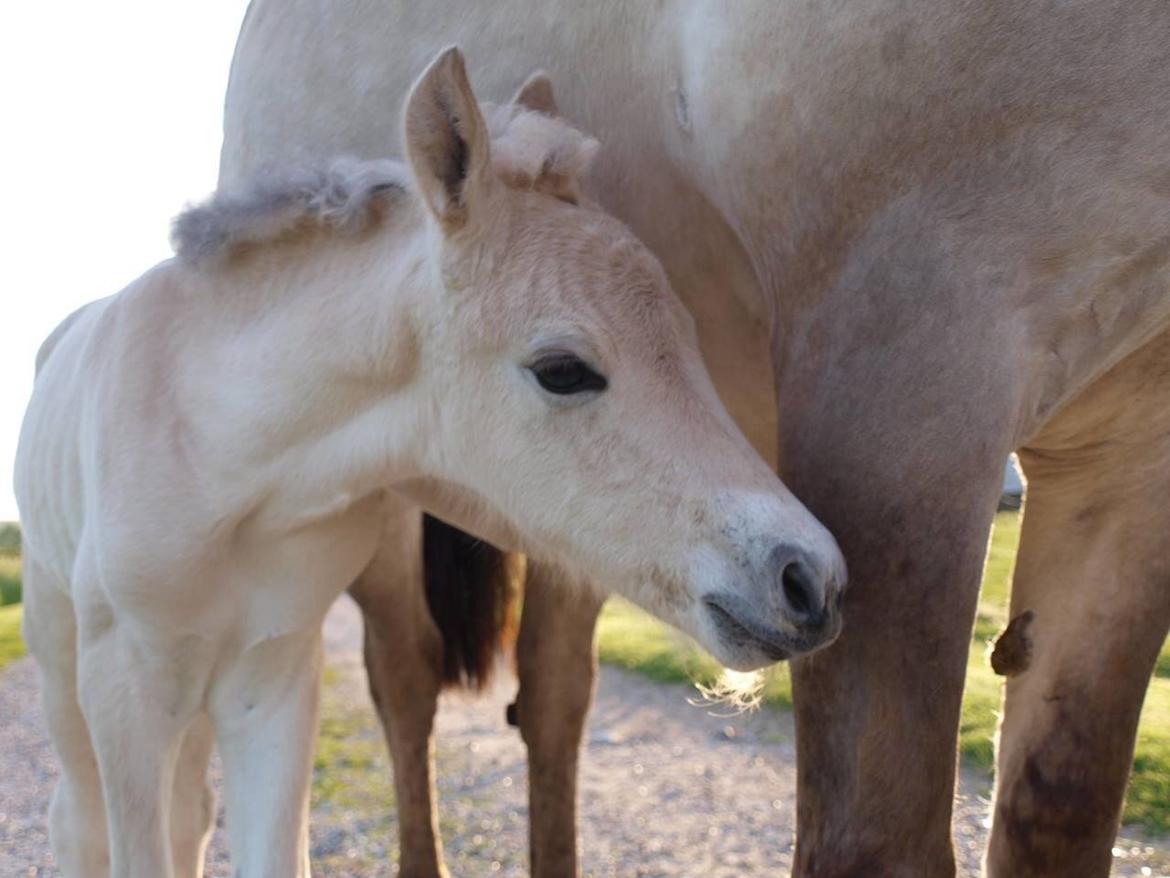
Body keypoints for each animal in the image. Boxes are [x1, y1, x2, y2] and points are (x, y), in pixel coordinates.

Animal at [13, 49, 847, 878]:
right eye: (562, 370)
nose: (810, 580)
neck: (223, 449)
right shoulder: (125, 687)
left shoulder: (270, 679)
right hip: (65, 657)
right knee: (77, 820)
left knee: (189, 810)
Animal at [221, 3, 1170, 875]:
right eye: (561, 369)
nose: (810, 582)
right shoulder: (904, 361)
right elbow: (874, 841)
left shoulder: (1127, 465)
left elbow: (1057, 809)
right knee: (408, 679)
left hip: (574, 527)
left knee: (553, 698)